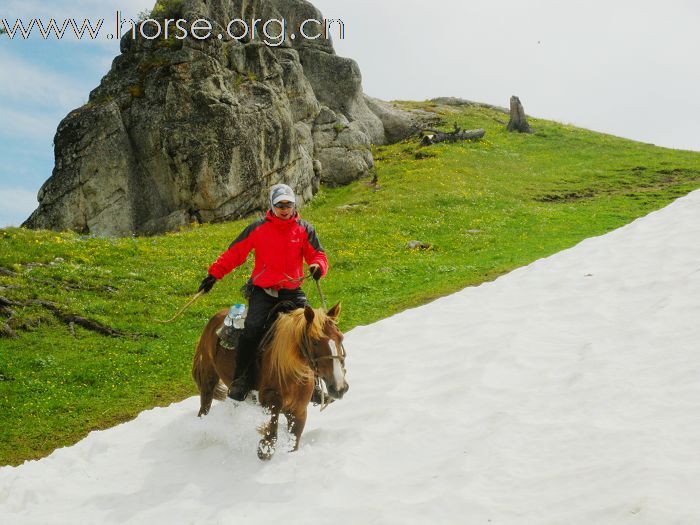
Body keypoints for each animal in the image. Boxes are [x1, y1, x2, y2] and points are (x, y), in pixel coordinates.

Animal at [193, 302, 348, 458]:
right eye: (315, 342)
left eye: (340, 338)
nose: (339, 387)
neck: (290, 371)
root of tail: (216, 317)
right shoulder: (269, 400)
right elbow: (272, 425)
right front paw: (265, 447)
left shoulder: (299, 412)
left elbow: (294, 442)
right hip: (208, 378)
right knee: (204, 407)